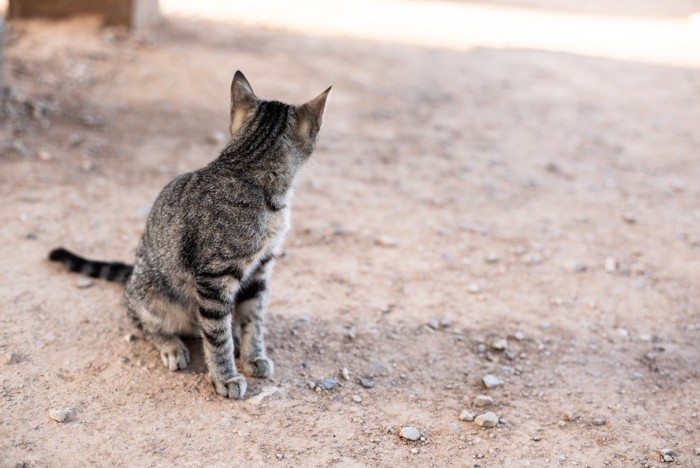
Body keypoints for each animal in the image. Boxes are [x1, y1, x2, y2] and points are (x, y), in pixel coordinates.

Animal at [50, 72, 330, 398]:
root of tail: (132, 273)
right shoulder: (214, 278)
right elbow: (217, 336)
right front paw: (225, 377)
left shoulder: (261, 269)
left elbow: (254, 319)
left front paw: (253, 356)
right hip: (151, 294)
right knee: (144, 322)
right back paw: (172, 346)